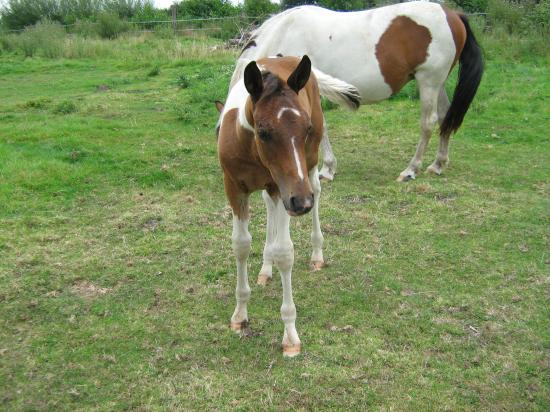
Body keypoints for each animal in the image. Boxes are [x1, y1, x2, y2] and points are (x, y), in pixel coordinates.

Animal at [218, 55, 360, 358]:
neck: (250, 147)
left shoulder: (286, 187)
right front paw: (240, 315)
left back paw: (316, 253)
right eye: (263, 131)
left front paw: (290, 336)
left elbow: (284, 252)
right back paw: (265, 269)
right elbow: (240, 245)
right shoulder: (235, 188)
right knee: (270, 208)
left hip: (306, 169)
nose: (301, 202)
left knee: (315, 189)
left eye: (305, 129)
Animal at [231, 0, 486, 180]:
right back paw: (438, 164)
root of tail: (452, 15)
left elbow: (319, 125)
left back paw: (411, 169)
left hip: (428, 82)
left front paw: (326, 169)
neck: (284, 32)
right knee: (445, 117)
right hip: (437, 83)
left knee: (429, 122)